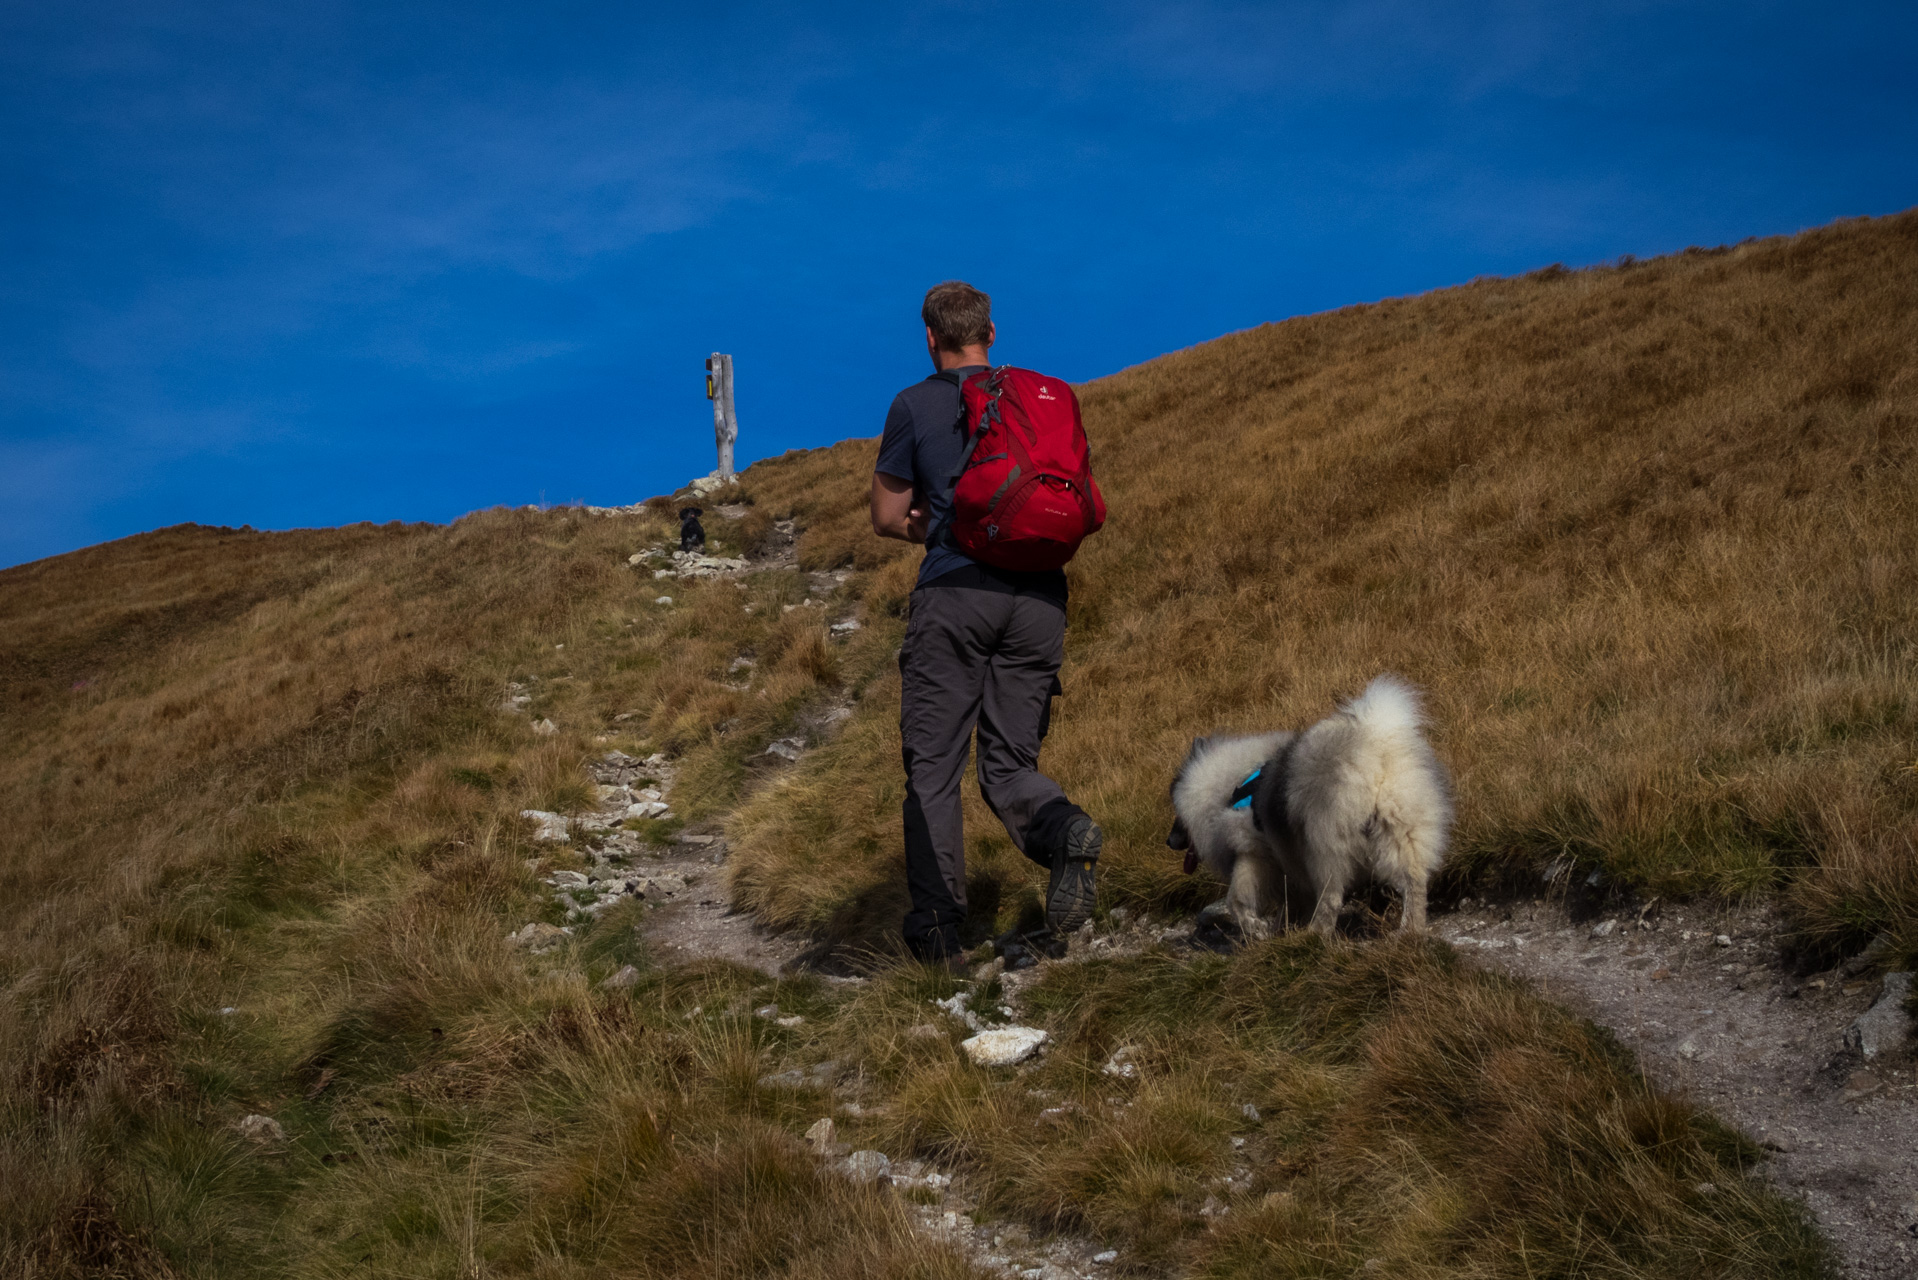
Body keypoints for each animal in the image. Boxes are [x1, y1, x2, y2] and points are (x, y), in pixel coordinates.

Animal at [1166, 675, 1450, 936]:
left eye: (1177, 816)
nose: (1169, 841)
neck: (1228, 787)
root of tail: (1374, 751)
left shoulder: (1254, 853)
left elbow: (1236, 901)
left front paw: (1257, 929)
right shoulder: (1287, 868)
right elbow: (1289, 905)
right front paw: (1279, 931)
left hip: (1323, 845)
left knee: (1332, 897)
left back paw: (1316, 934)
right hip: (1402, 832)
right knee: (1414, 884)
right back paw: (1409, 931)